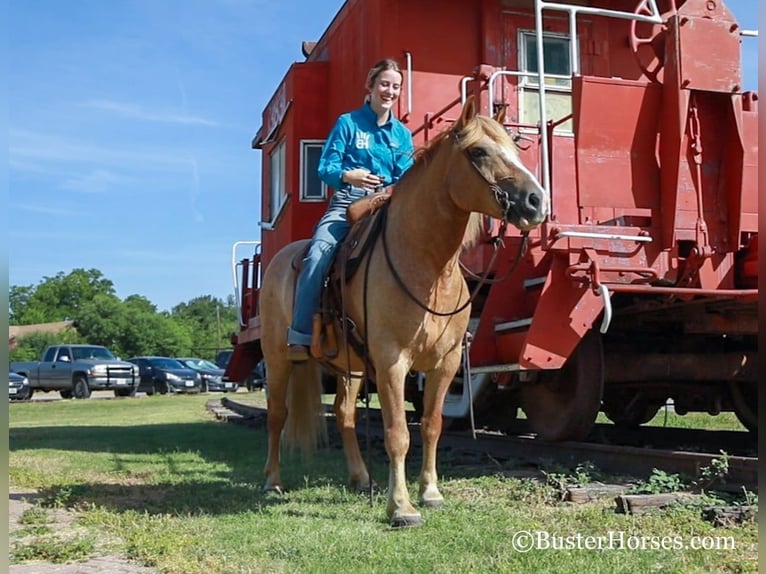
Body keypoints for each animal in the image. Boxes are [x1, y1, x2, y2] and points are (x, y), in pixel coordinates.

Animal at [260, 95, 548, 532]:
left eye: (516, 148)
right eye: (479, 152)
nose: (536, 201)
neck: (429, 266)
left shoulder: (446, 364)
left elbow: (431, 426)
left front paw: (430, 492)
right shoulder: (393, 361)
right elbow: (398, 433)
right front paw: (401, 507)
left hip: (351, 368)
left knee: (344, 415)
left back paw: (360, 477)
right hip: (278, 358)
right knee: (277, 415)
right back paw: (272, 483)